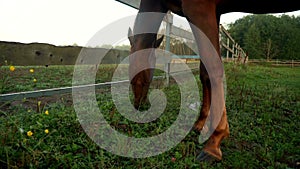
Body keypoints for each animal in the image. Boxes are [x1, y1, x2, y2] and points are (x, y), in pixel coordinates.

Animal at [127, 0, 298, 161]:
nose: (138, 104)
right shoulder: (215, 13)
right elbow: (204, 72)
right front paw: (201, 123)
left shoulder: (199, 9)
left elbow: (213, 68)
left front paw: (214, 142)